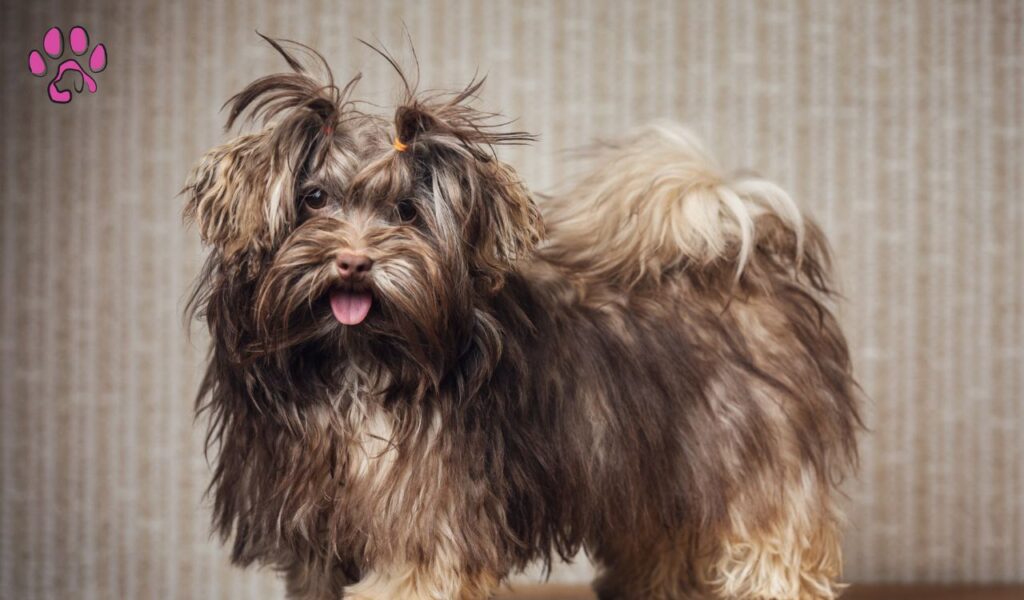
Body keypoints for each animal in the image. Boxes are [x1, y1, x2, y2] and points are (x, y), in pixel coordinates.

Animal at [186, 38, 864, 597]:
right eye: (314, 199)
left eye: (406, 211)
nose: (353, 262)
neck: (357, 366)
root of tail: (742, 261)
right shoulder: (315, 534)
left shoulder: (428, 526)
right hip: (656, 474)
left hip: (757, 470)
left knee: (774, 551)